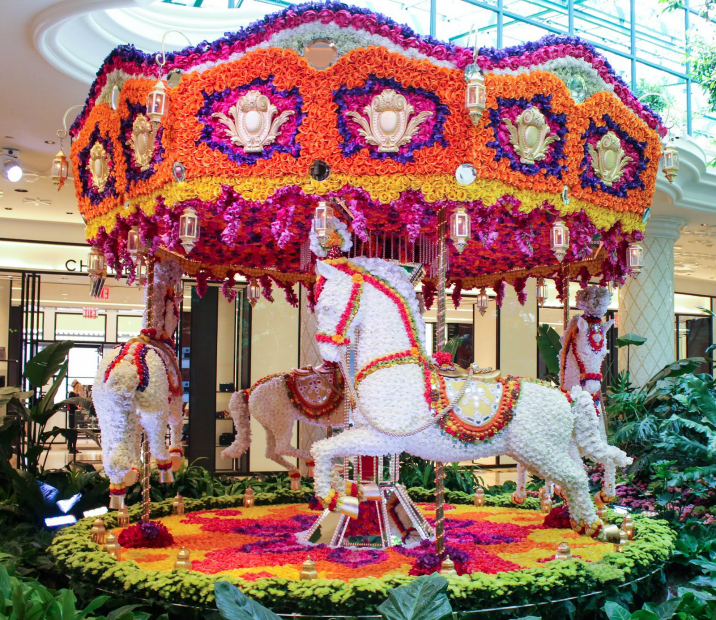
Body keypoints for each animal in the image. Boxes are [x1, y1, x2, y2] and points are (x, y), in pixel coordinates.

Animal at [92, 260, 185, 506]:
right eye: (175, 308)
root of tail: (124, 368)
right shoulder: (176, 398)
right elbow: (177, 424)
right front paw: (176, 455)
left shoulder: (130, 413)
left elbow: (134, 441)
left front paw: (135, 469)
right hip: (154, 408)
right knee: (157, 440)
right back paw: (166, 469)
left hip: (108, 413)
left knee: (113, 457)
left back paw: (120, 489)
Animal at [310, 258, 628, 536]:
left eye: (327, 305)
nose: (325, 355)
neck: (394, 366)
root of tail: (566, 396)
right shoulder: (367, 433)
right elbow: (325, 452)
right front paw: (346, 493)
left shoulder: (383, 440)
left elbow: (321, 450)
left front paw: (332, 499)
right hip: (556, 448)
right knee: (577, 478)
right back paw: (581, 523)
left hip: (542, 451)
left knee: (575, 478)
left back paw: (595, 528)